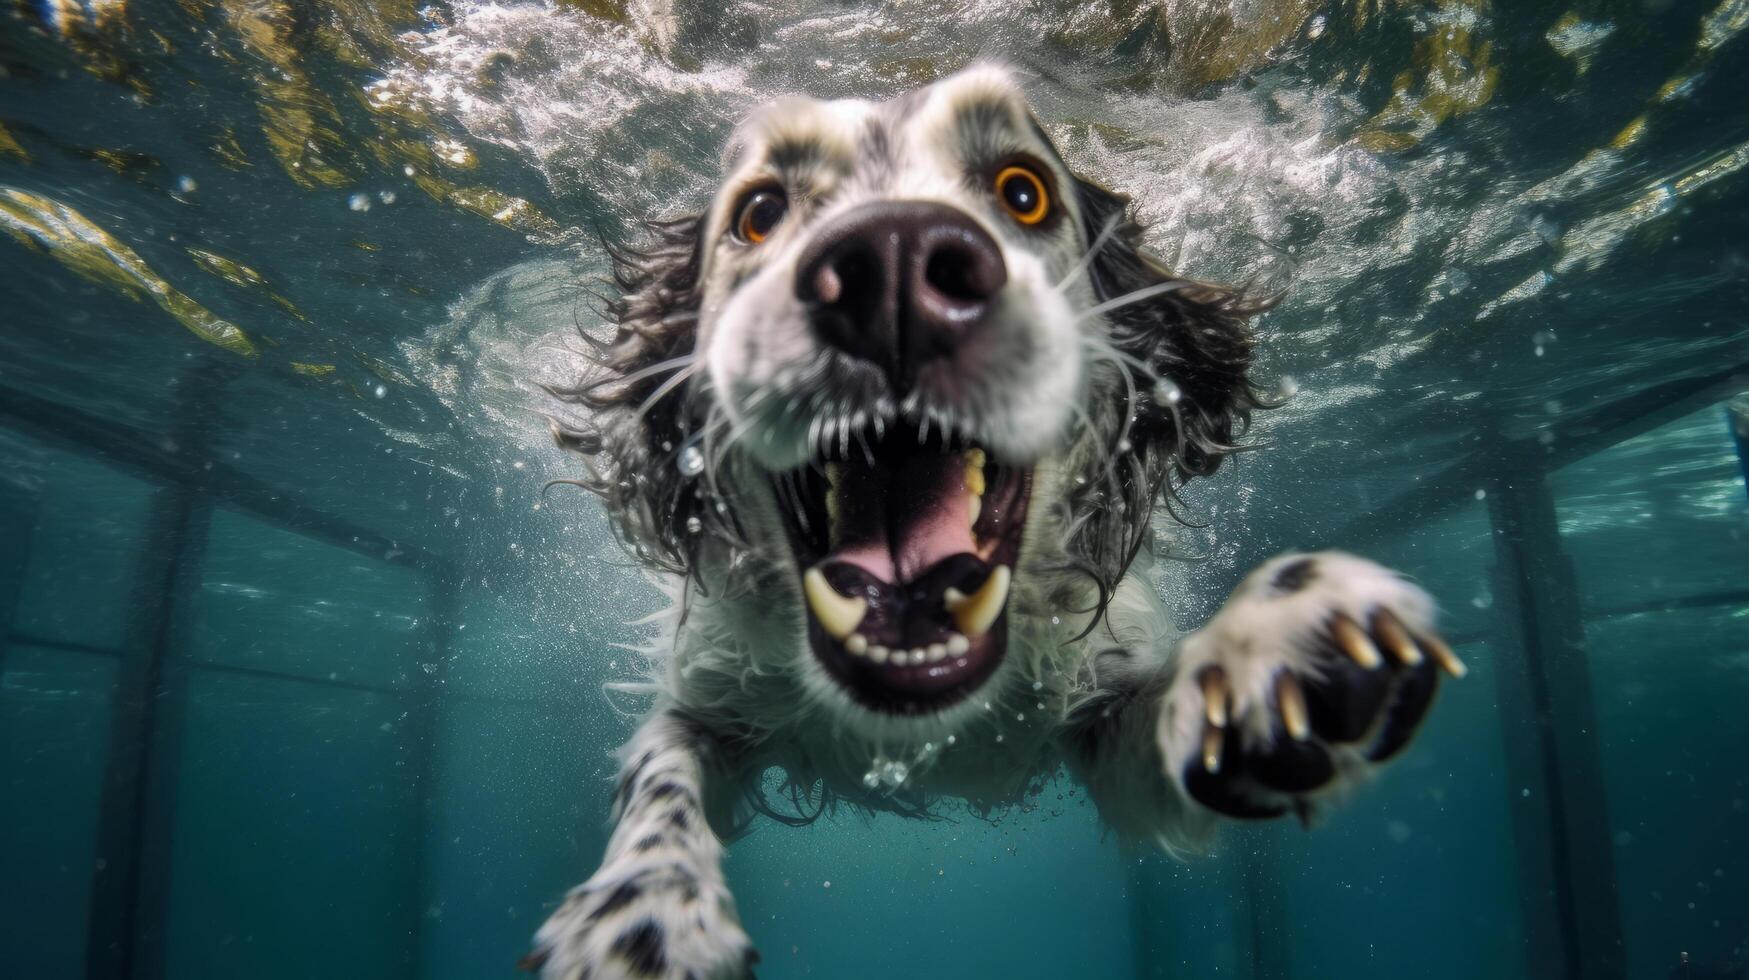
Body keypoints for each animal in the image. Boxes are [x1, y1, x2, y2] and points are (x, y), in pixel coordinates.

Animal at [531, 65, 1462, 973]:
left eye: (1023, 192)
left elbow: (1161, 707)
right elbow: (661, 780)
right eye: (759, 213)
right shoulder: (710, 706)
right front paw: (643, 919)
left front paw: (1262, 655)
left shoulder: (1099, 710)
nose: (892, 260)